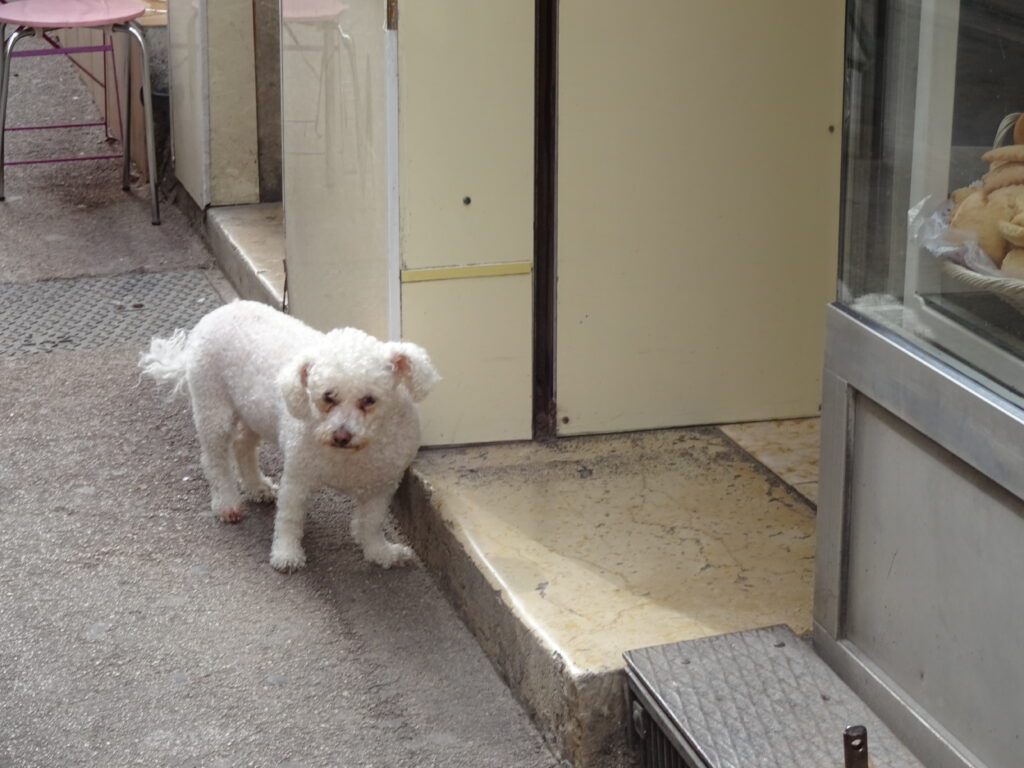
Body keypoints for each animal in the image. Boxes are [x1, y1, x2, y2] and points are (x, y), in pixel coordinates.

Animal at [139, 299, 436, 573]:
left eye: (369, 400)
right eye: (328, 397)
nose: (341, 436)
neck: (350, 456)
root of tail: (220, 311)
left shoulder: (381, 485)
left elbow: (371, 524)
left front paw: (381, 552)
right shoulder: (298, 478)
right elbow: (289, 519)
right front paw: (286, 554)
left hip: (253, 412)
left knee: (242, 445)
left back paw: (257, 486)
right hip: (213, 408)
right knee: (215, 460)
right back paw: (227, 503)